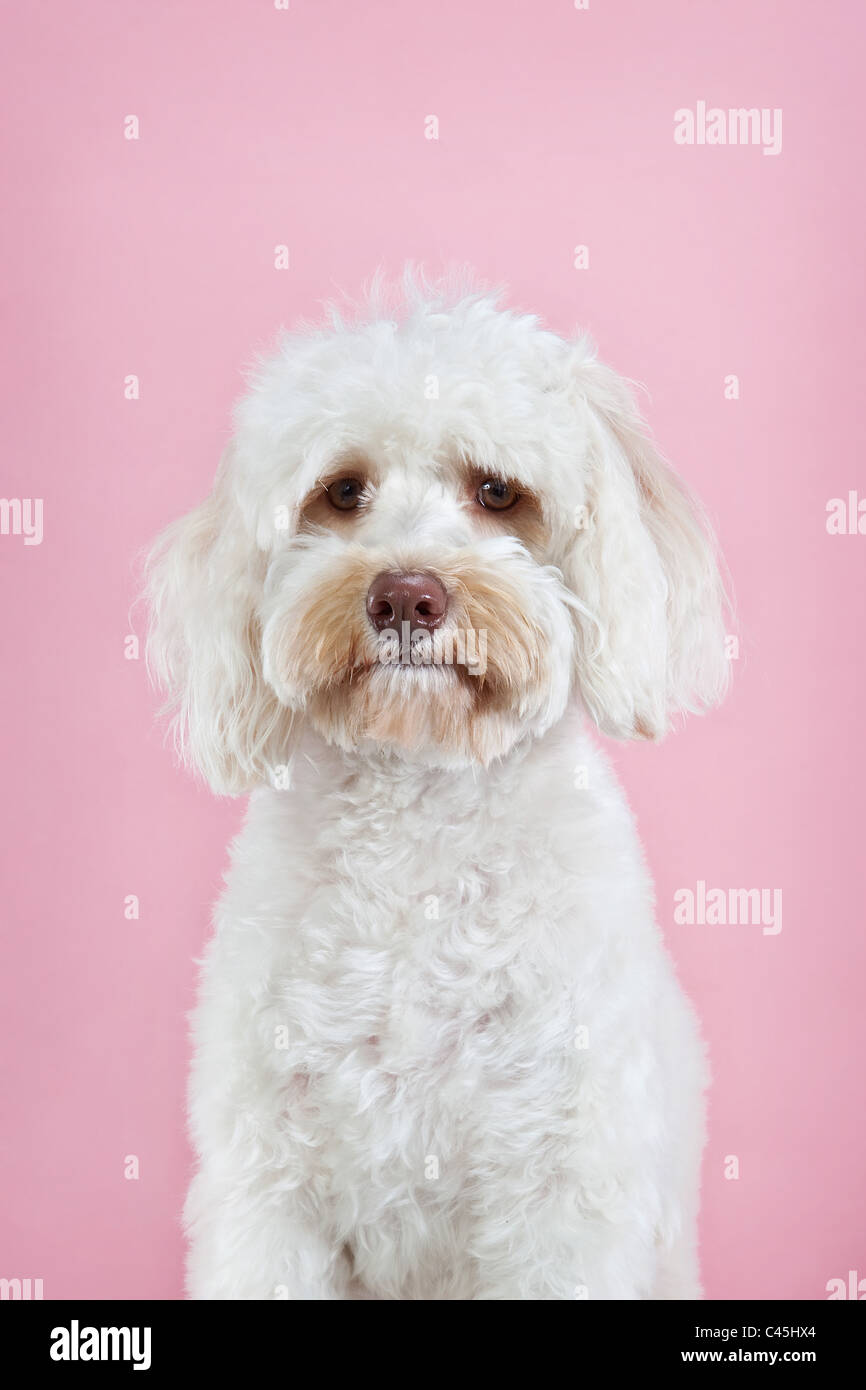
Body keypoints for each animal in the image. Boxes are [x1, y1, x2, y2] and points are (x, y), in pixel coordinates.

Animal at [147, 273, 733, 1301]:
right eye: (343, 490)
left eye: (497, 490)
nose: (405, 596)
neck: (418, 828)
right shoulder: (268, 1189)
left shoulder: (561, 1195)